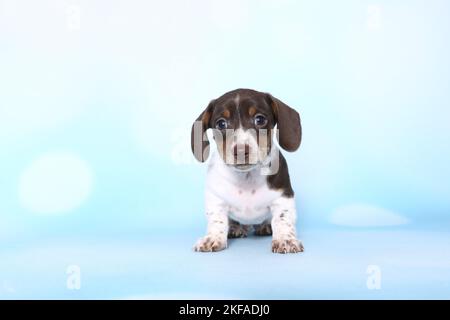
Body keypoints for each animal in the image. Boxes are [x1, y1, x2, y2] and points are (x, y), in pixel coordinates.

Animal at [192, 87, 304, 252]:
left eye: (260, 120)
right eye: (221, 124)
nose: (240, 151)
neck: (246, 177)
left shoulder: (283, 197)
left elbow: (282, 219)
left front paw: (285, 240)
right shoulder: (216, 199)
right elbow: (217, 220)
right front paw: (213, 237)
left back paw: (264, 227)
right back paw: (236, 228)